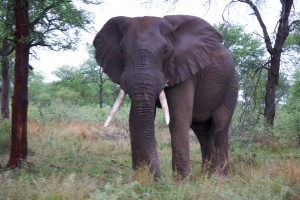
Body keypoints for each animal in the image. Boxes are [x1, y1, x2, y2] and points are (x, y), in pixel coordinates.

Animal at [92, 15, 238, 180]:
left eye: (166, 50)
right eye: (122, 51)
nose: (158, 179)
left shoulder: (184, 69)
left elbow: (178, 118)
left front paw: (182, 182)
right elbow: (134, 120)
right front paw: (139, 180)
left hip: (231, 84)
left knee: (220, 124)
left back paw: (222, 178)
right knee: (202, 130)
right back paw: (208, 176)